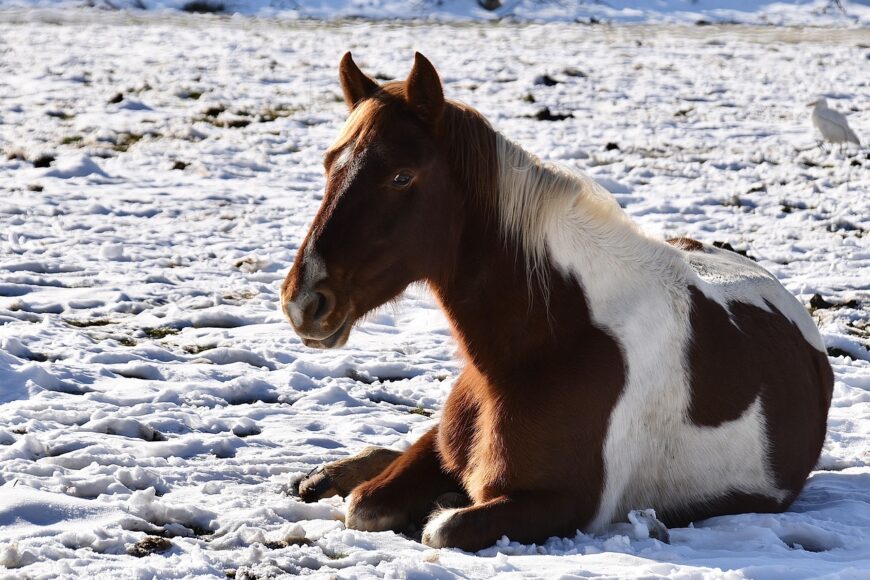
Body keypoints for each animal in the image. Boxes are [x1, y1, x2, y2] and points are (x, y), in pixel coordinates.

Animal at [282, 52, 836, 552]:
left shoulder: (564, 505)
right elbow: (367, 503)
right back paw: (324, 475)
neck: (549, 342)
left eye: (401, 176)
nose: (303, 302)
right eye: (330, 165)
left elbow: (439, 526)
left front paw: (440, 501)